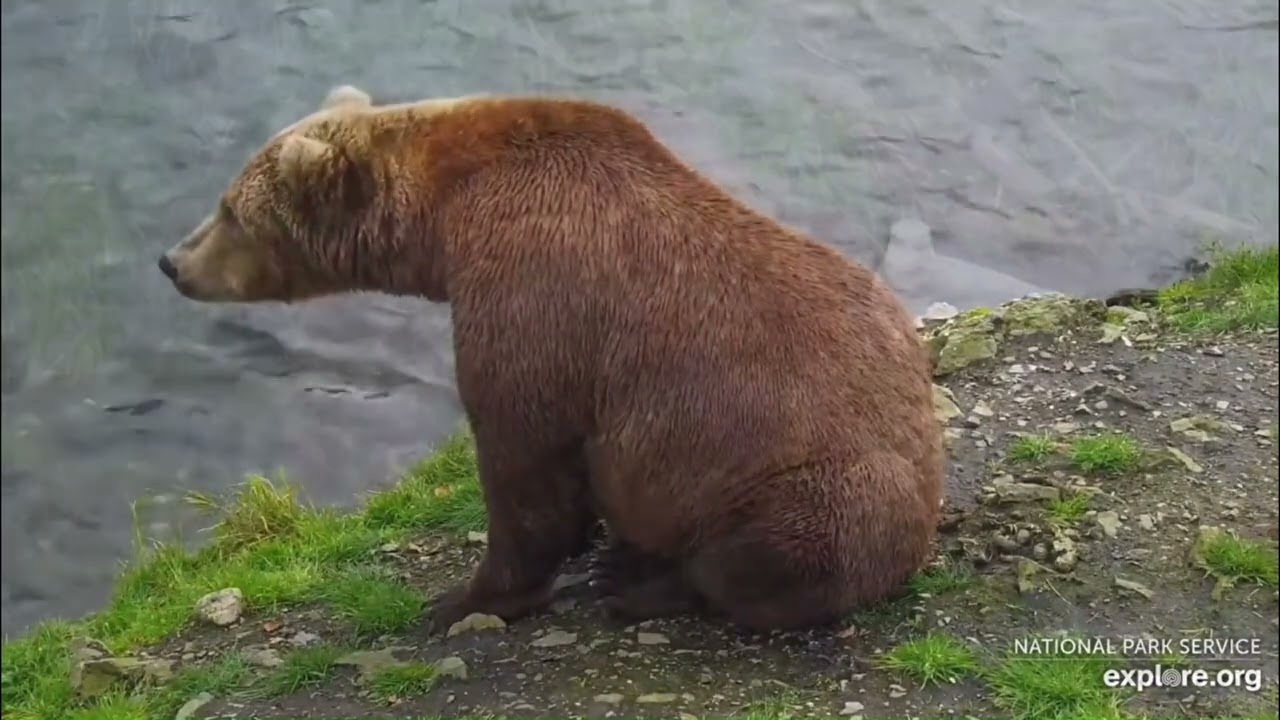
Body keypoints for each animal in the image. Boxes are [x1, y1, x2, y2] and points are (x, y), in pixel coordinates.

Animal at [159, 84, 946, 634]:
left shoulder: (533, 298)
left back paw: (639, 585)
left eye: (232, 212)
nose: (171, 261)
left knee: (760, 554)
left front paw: (463, 599)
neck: (444, 224)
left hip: (806, 482)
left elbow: (521, 462)